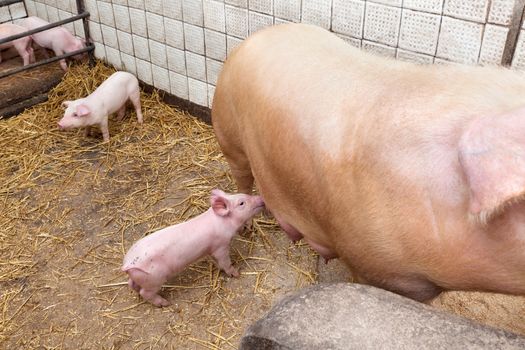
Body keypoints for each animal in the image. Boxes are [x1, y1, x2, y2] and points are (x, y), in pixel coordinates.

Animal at [122, 189, 262, 306]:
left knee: (132, 284)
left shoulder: (210, 249)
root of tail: (127, 264)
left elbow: (216, 261)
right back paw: (165, 304)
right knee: (145, 293)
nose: (260, 198)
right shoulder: (220, 246)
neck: (224, 222)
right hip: (154, 279)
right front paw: (236, 273)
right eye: (241, 203)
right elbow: (225, 261)